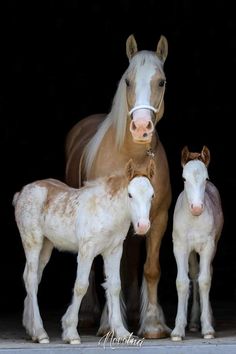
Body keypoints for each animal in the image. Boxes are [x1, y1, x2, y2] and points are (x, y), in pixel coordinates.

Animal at [13, 160, 156, 342]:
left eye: (152, 196)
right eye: (130, 195)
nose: (143, 226)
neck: (107, 212)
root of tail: (22, 193)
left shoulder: (114, 251)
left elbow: (115, 286)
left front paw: (121, 332)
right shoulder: (86, 251)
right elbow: (81, 286)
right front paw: (71, 332)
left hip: (46, 246)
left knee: (33, 277)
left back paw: (31, 328)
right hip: (32, 241)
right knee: (31, 279)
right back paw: (40, 332)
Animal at [64, 34, 171, 338]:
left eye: (161, 81)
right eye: (128, 81)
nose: (141, 127)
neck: (131, 155)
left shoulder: (158, 218)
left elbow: (150, 269)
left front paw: (152, 323)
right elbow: (106, 272)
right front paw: (107, 324)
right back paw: (89, 316)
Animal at [171, 146, 224, 340]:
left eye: (206, 178)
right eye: (184, 179)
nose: (196, 208)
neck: (193, 220)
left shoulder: (208, 246)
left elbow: (205, 281)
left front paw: (207, 327)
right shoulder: (180, 247)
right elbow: (182, 282)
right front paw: (178, 330)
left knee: (206, 273)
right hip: (192, 252)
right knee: (194, 274)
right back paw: (193, 322)